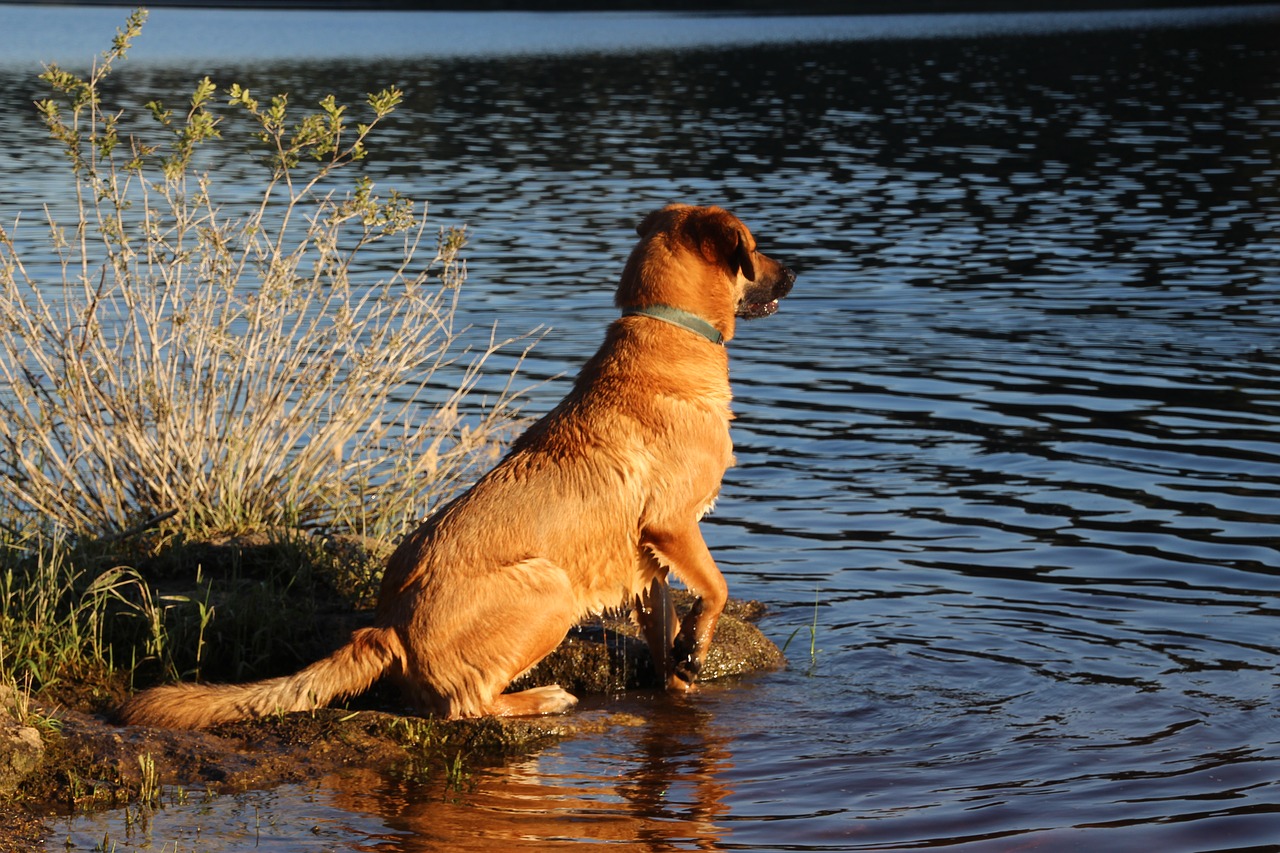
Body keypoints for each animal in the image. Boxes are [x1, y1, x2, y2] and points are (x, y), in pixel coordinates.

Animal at [122, 204, 798, 722]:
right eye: (752, 249)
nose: (795, 272)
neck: (670, 329)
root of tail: (388, 629)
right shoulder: (674, 524)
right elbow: (716, 587)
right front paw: (699, 643)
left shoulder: (650, 560)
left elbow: (662, 632)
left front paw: (682, 674)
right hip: (550, 588)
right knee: (468, 706)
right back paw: (542, 699)